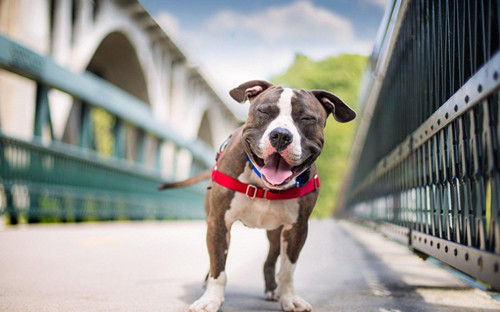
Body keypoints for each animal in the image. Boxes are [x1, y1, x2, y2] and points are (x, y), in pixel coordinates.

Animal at [158, 79, 354, 310]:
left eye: (306, 118)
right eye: (264, 111)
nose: (281, 135)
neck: (264, 185)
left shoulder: (297, 228)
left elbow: (287, 270)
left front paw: (289, 298)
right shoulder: (218, 221)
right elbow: (218, 266)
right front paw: (211, 299)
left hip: (276, 233)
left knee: (270, 260)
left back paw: (272, 290)